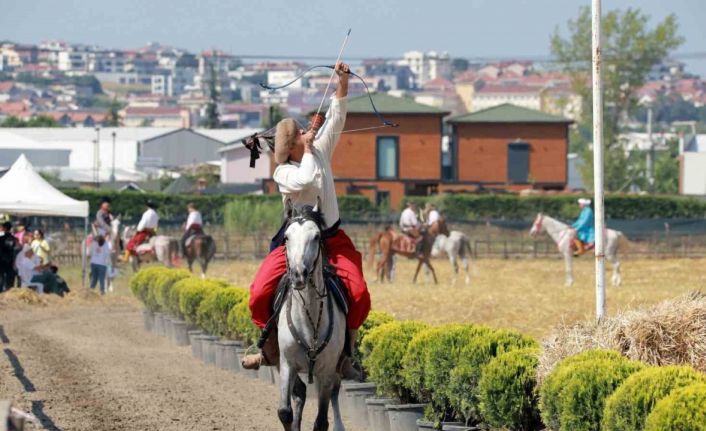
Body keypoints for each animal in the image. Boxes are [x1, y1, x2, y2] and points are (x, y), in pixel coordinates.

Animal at [278, 204, 350, 431]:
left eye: (317, 236)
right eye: (286, 237)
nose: (299, 274)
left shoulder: (326, 370)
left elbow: (321, 421)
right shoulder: (287, 364)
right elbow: (284, 412)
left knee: (334, 391)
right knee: (300, 394)